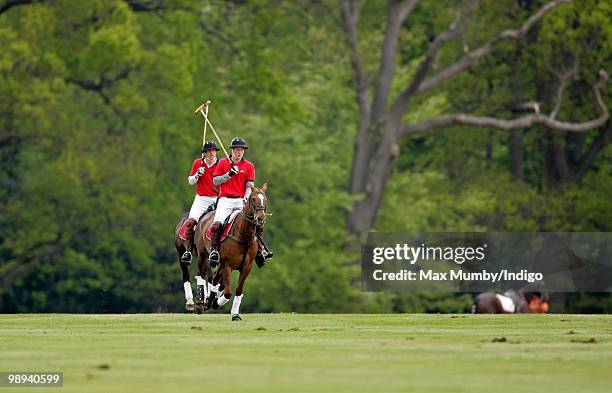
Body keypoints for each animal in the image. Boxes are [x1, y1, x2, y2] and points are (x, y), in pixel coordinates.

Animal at [194, 182, 266, 320]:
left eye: (265, 199)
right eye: (253, 199)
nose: (261, 218)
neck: (244, 236)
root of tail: (206, 214)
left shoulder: (246, 267)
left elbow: (238, 291)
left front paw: (235, 314)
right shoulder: (228, 265)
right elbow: (227, 293)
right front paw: (216, 303)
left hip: (220, 262)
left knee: (215, 278)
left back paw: (210, 299)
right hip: (202, 255)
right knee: (201, 273)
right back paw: (201, 303)